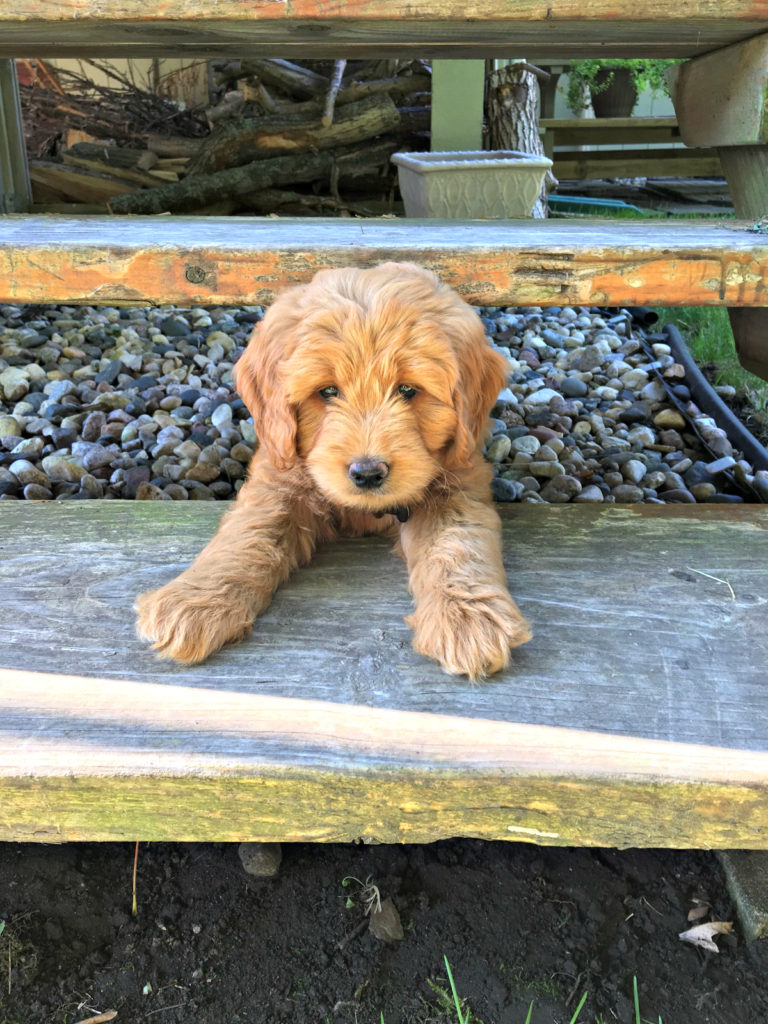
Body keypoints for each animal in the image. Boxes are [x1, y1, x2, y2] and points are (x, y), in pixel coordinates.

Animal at [137, 264, 528, 679]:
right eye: (327, 392)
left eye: (408, 389)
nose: (368, 473)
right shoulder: (278, 475)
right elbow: (250, 531)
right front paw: (194, 603)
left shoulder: (460, 476)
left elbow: (456, 541)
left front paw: (469, 618)